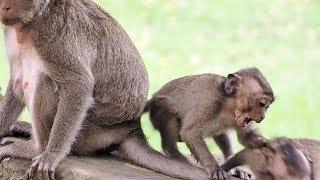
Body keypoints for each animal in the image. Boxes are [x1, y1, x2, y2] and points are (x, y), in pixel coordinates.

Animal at [0, 0, 211, 180]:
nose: (4, 7)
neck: (29, 24)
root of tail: (131, 127)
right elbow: (17, 82)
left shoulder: (52, 35)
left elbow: (79, 85)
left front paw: (50, 155)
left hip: (91, 131)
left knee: (45, 81)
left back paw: (37, 148)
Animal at [145, 67, 276, 179]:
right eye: (261, 104)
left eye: (267, 107)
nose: (262, 117)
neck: (228, 103)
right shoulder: (209, 103)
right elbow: (189, 133)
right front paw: (214, 167)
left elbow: (245, 138)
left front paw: (263, 143)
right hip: (157, 111)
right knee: (168, 112)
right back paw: (174, 154)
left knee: (219, 132)